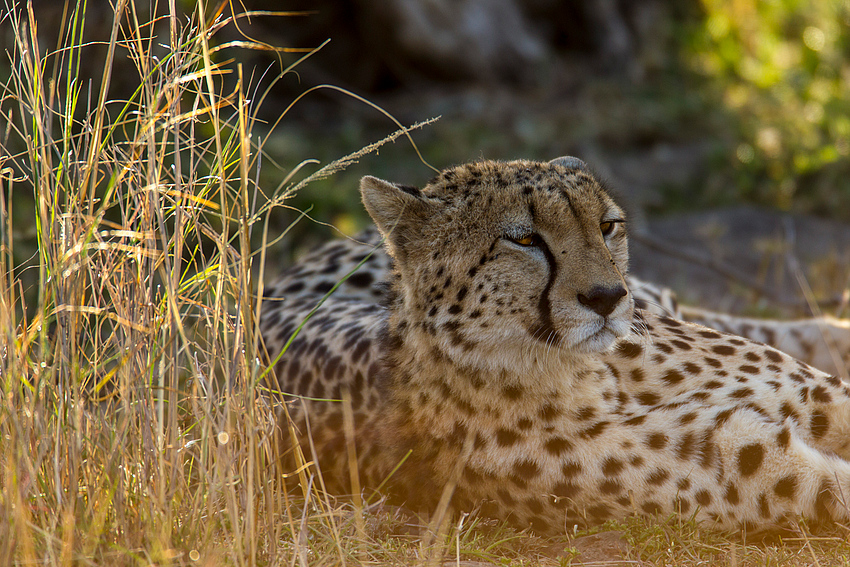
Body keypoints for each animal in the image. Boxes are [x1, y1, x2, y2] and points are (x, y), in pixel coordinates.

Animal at [262, 158, 848, 536]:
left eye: (608, 226)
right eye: (524, 239)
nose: (608, 297)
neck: (580, 375)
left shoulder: (813, 399)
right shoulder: (764, 469)